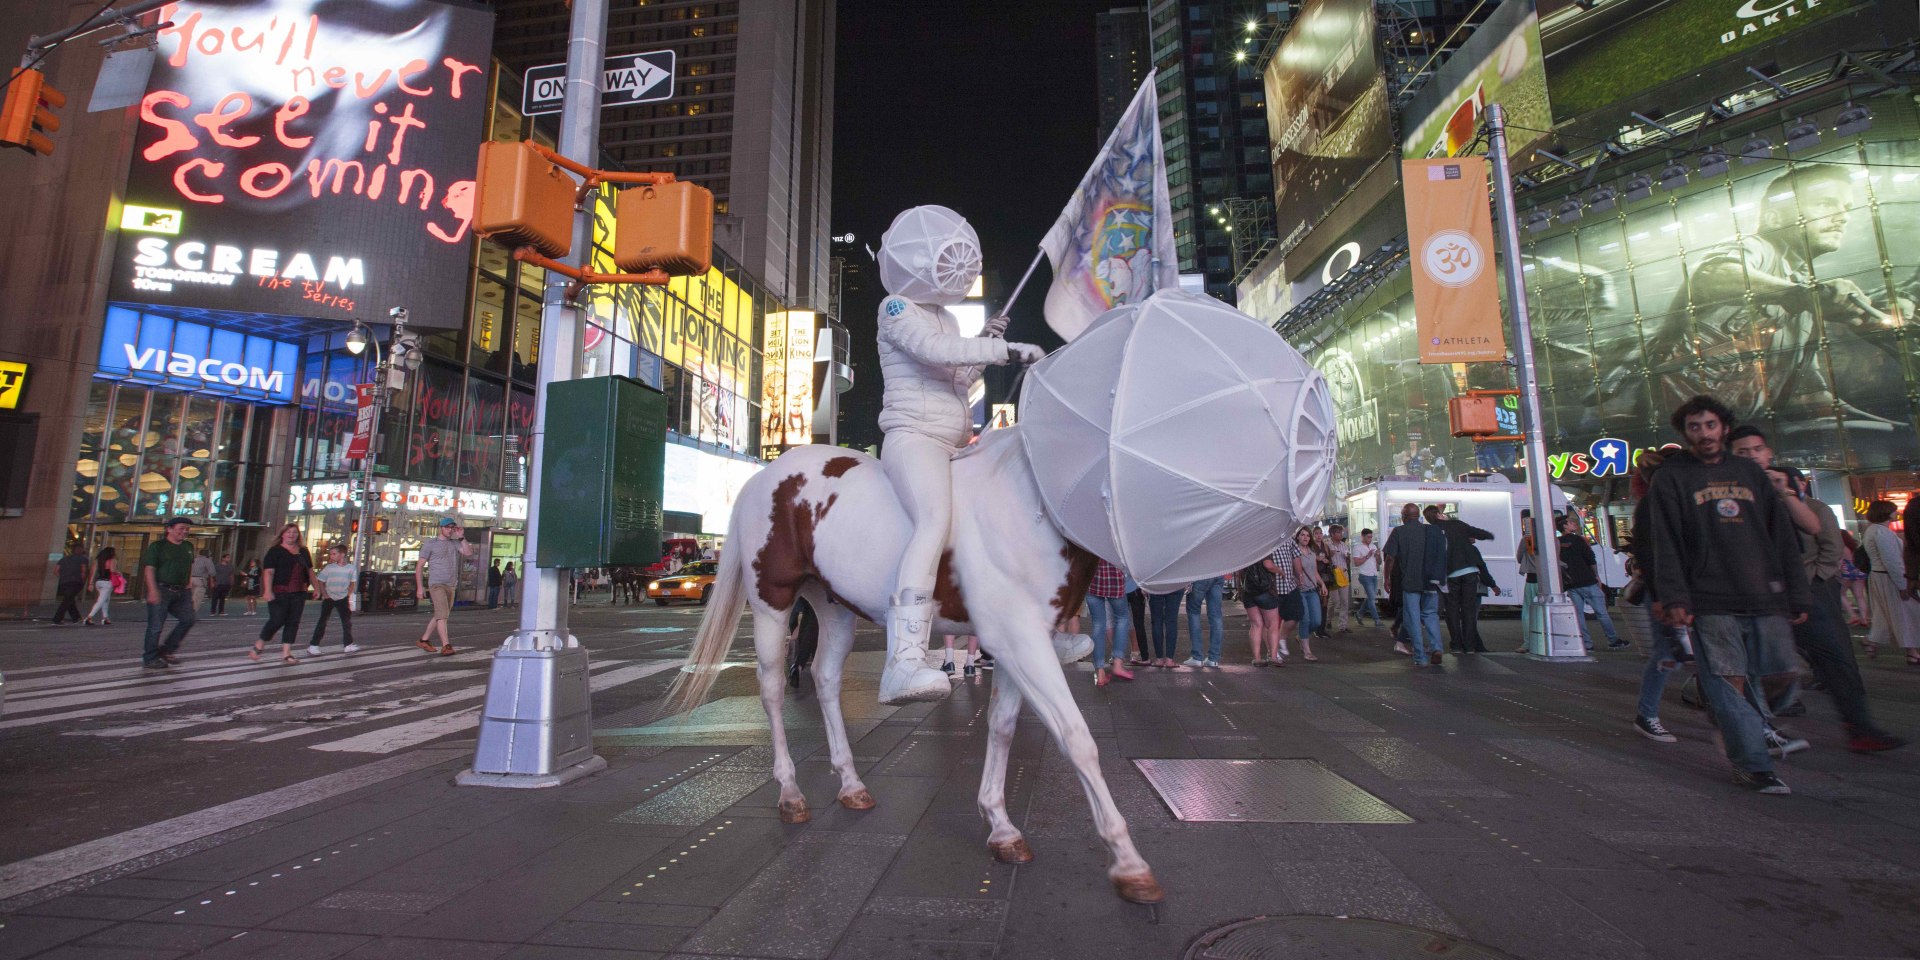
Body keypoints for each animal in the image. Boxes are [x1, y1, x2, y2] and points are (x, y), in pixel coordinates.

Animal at [668, 432, 1159, 902]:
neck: (1029, 499)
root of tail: (763, 477)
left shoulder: (1019, 642)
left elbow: (1002, 726)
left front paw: (1001, 827)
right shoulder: (1019, 636)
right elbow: (1076, 738)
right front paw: (1128, 861)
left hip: (832, 604)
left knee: (826, 678)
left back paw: (851, 784)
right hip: (772, 600)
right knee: (771, 688)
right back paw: (790, 793)